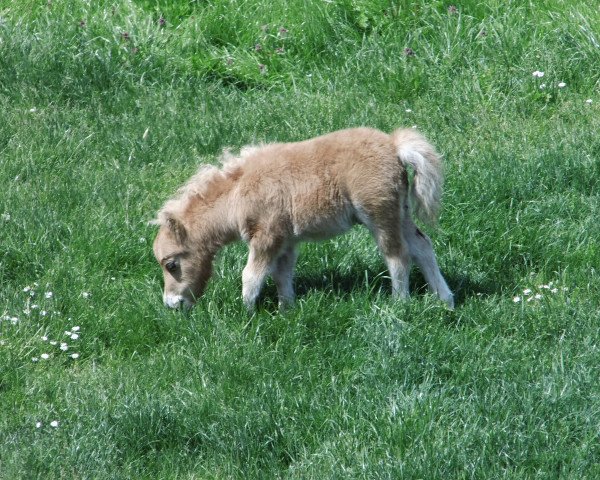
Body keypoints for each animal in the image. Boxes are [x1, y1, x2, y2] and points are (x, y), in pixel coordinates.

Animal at [152, 125, 452, 310]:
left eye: (171, 264)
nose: (172, 304)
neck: (237, 192)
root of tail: (393, 145)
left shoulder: (266, 237)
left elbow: (251, 276)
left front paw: (246, 314)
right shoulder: (287, 241)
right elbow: (282, 274)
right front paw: (287, 310)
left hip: (380, 216)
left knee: (398, 255)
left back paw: (399, 303)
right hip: (401, 212)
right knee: (422, 245)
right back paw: (445, 299)